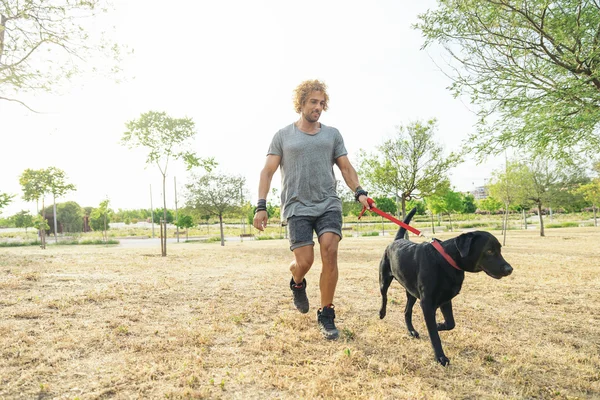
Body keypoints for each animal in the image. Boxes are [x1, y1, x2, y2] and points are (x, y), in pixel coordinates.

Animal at [380, 208, 510, 368]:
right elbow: (434, 335)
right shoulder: (427, 303)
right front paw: (441, 357)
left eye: (499, 249)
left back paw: (412, 331)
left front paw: (439, 325)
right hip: (384, 280)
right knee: (384, 297)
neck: (447, 260)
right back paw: (382, 313)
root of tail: (397, 240)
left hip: (411, 293)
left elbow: (450, 323)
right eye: (489, 251)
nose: (510, 269)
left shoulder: (445, 300)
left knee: (406, 311)